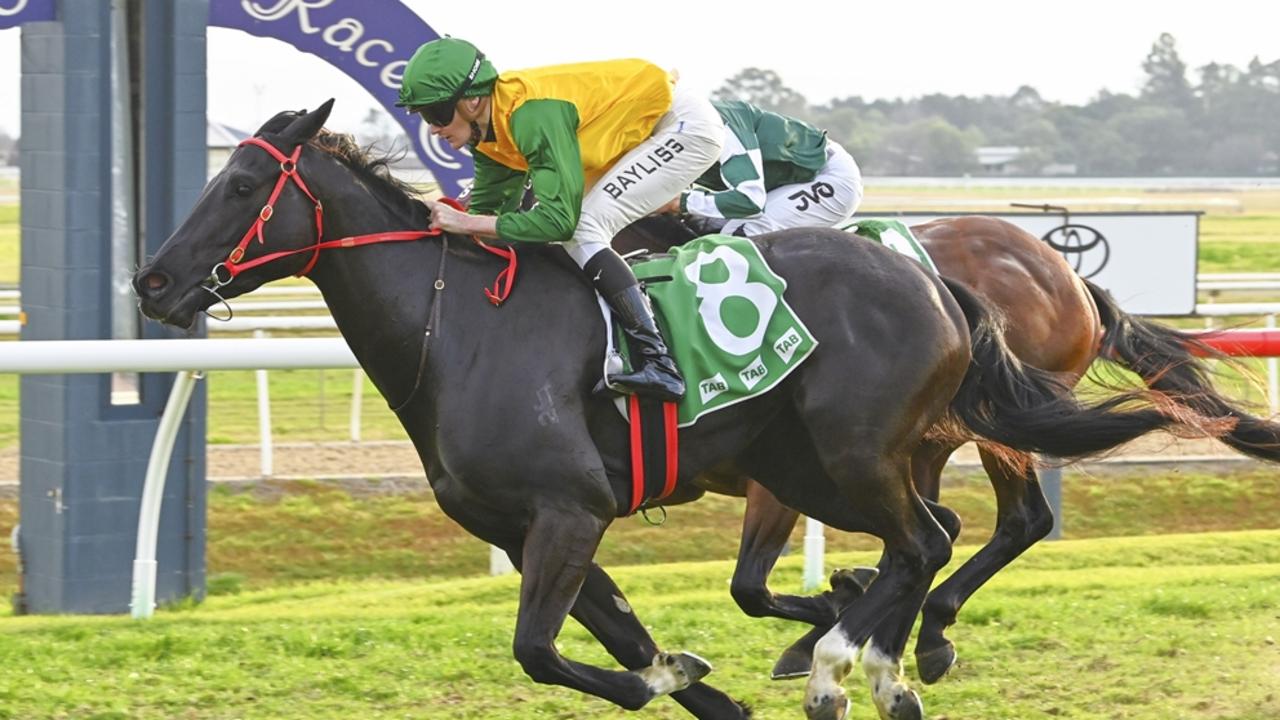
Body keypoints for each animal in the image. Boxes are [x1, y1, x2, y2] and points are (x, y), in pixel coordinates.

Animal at [614, 211, 1274, 712]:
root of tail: (1067, 273)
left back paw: (926, 634)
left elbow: (749, 586)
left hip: (986, 427)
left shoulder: (776, 479)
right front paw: (841, 608)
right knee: (939, 534)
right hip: (930, 444)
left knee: (1015, 521)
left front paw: (836, 611)